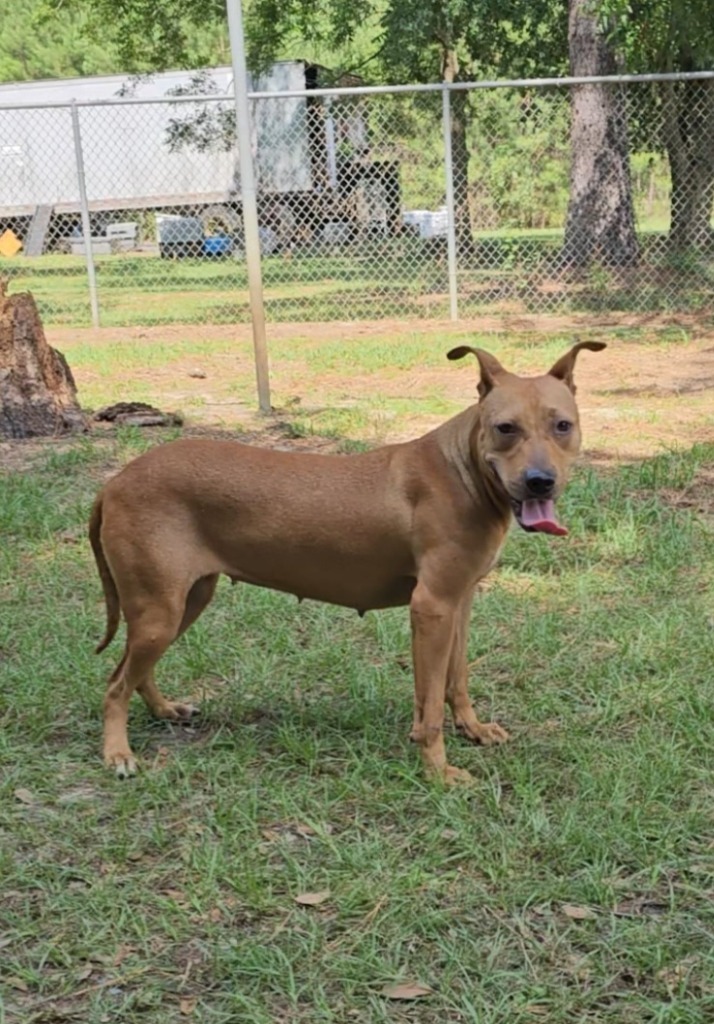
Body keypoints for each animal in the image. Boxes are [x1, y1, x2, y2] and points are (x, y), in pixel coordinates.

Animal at [87, 344, 602, 782]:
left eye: (562, 425)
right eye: (505, 428)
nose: (540, 481)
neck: (465, 470)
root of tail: (115, 481)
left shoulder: (459, 603)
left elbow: (454, 681)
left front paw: (471, 730)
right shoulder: (432, 607)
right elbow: (432, 704)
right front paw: (438, 770)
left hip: (185, 599)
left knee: (136, 672)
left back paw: (164, 711)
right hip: (160, 610)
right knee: (114, 684)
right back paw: (117, 753)